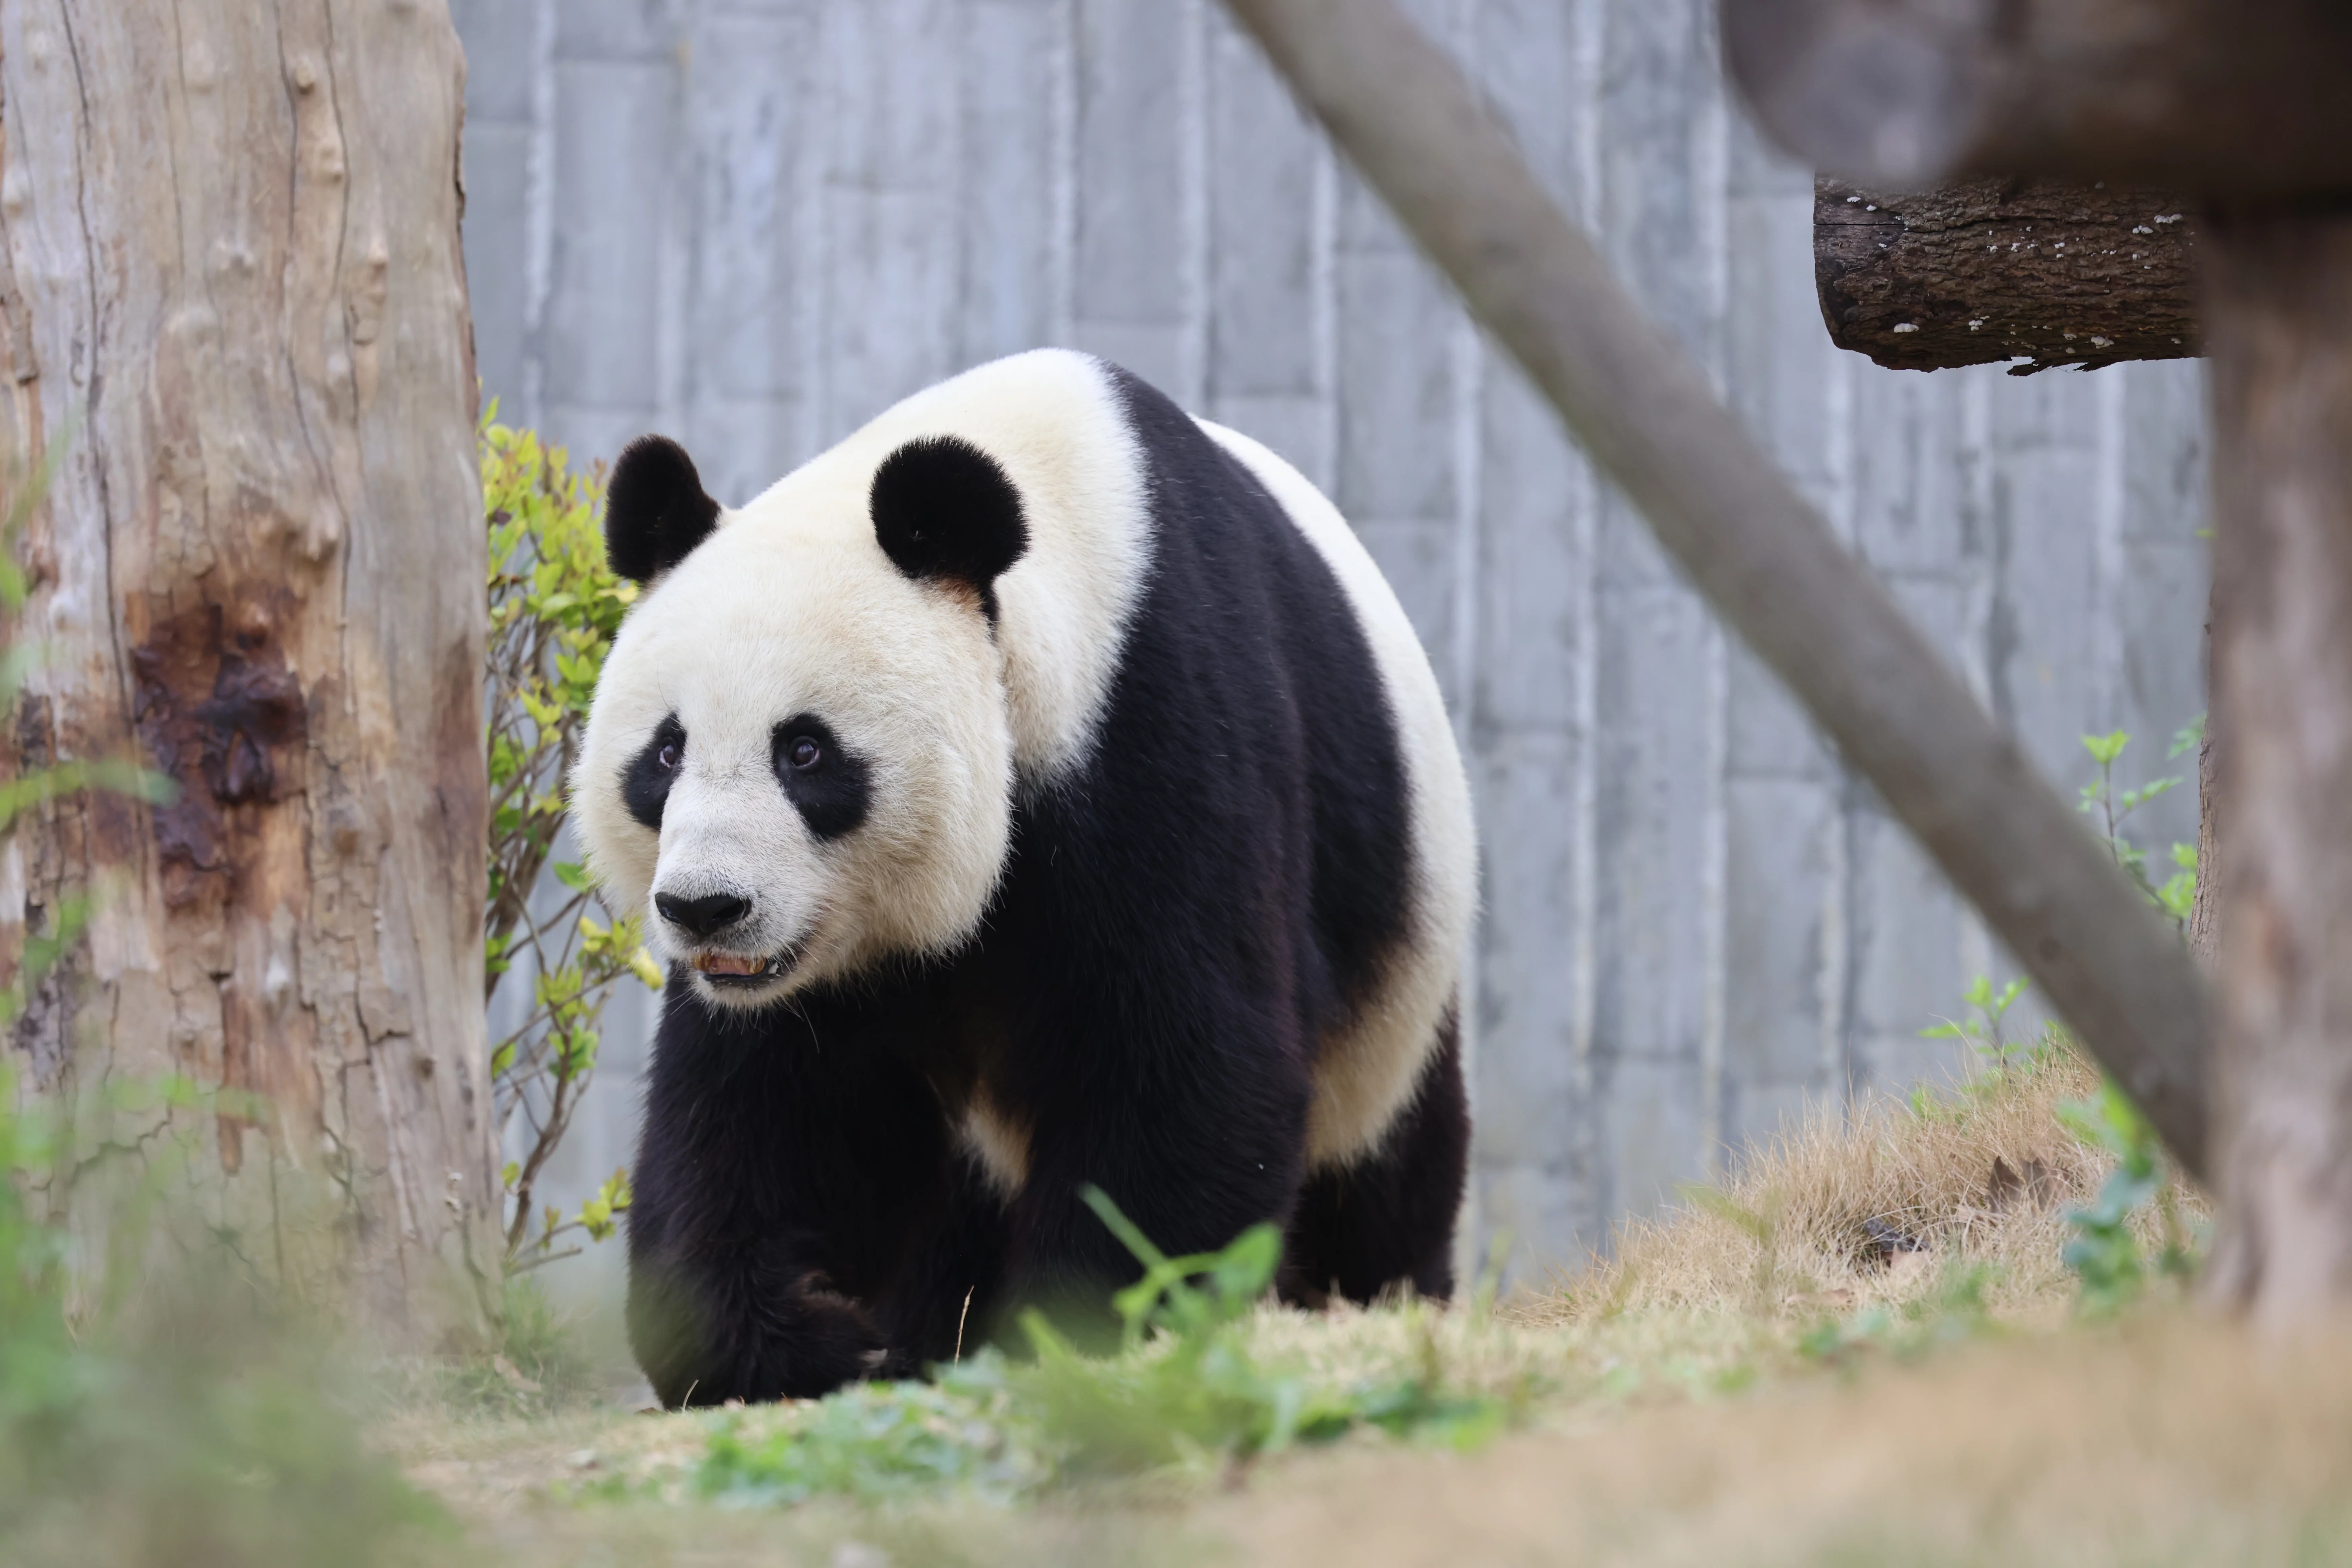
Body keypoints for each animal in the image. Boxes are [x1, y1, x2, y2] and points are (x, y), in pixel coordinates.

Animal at [575, 349, 1477, 1407]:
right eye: (666, 752)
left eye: (805, 751)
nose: (707, 909)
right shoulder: (816, 971)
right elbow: (768, 1105)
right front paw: (806, 1339)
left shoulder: (1157, 726)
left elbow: (1182, 1064)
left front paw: (1062, 1329)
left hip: (1400, 975)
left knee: (1382, 1168)